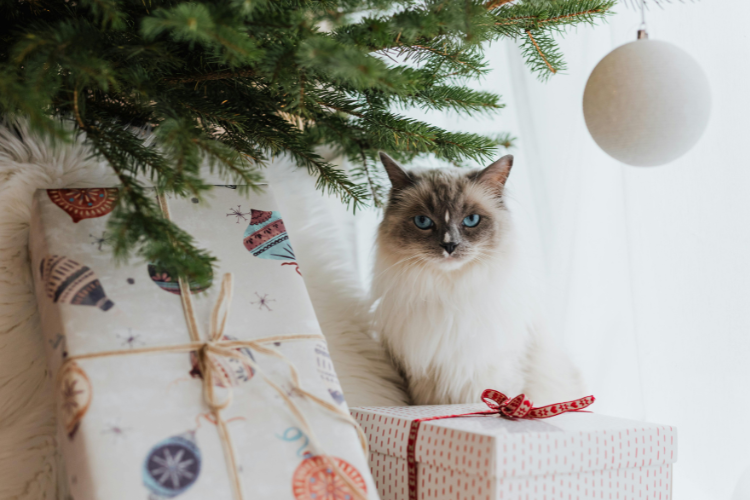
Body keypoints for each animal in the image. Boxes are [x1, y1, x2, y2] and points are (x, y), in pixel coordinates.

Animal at [374, 152, 584, 406]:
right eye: (423, 222)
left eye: (471, 220)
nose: (449, 245)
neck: (451, 294)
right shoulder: (421, 380)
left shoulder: (489, 375)